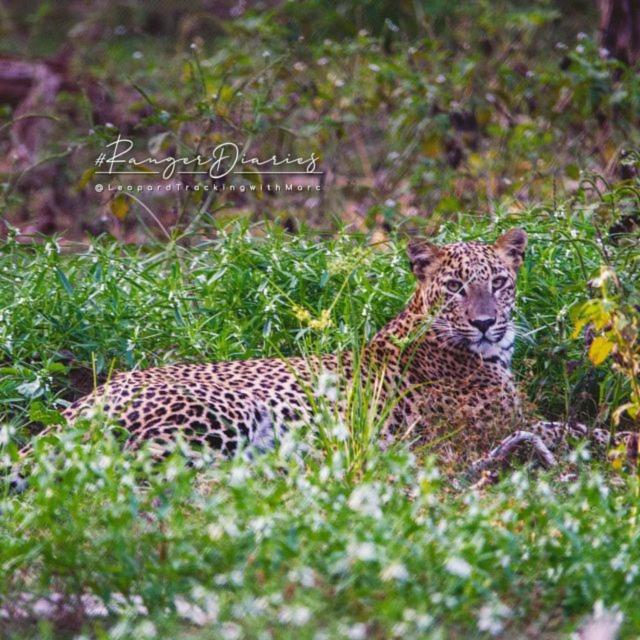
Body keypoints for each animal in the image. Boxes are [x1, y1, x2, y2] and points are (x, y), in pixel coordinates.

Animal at [18, 228, 637, 479]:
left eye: (500, 282)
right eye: (456, 287)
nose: (486, 322)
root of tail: (76, 408)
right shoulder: (492, 428)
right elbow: (571, 428)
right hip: (222, 413)